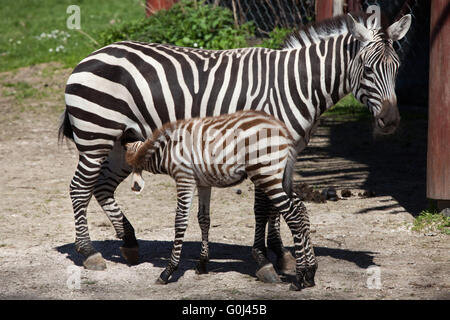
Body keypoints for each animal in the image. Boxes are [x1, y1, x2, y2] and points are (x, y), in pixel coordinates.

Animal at [124, 110, 316, 290]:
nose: (134, 187)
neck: (166, 149)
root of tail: (283, 131)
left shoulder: (184, 177)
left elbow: (180, 221)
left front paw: (168, 271)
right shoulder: (203, 183)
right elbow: (203, 219)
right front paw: (202, 264)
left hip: (266, 175)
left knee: (293, 217)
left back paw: (299, 278)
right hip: (279, 177)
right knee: (301, 211)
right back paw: (310, 274)